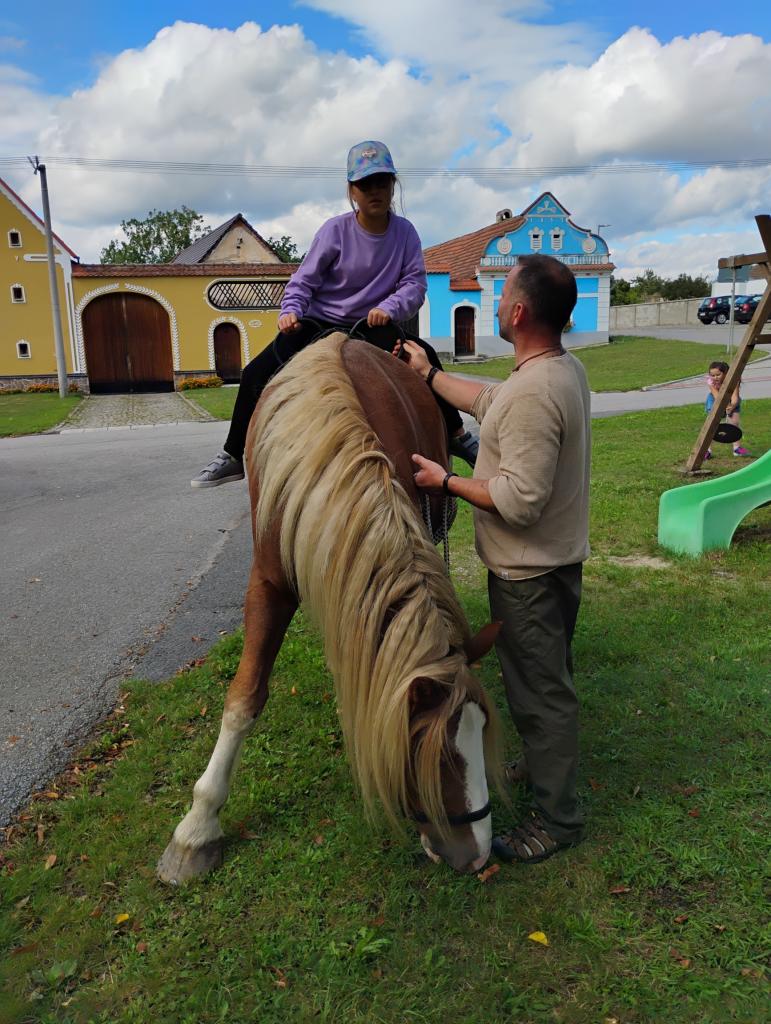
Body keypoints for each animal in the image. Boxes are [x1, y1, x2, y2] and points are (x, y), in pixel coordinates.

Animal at [157, 332, 502, 882]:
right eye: (429, 755)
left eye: (482, 729)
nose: (476, 856)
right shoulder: (270, 582)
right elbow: (243, 699)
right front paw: (196, 829)